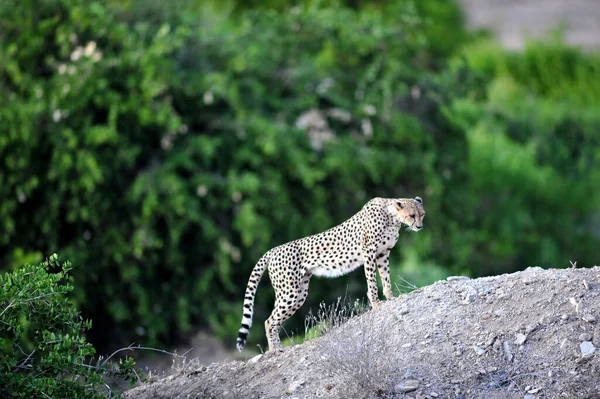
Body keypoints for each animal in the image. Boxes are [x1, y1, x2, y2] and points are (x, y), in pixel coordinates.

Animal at [237, 197, 424, 354]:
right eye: (411, 215)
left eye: (422, 214)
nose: (420, 226)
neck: (392, 217)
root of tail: (273, 250)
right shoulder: (368, 252)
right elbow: (371, 281)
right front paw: (376, 303)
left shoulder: (383, 253)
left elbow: (386, 278)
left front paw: (390, 297)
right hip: (290, 292)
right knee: (269, 321)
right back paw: (275, 350)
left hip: (297, 292)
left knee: (274, 318)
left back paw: (277, 348)